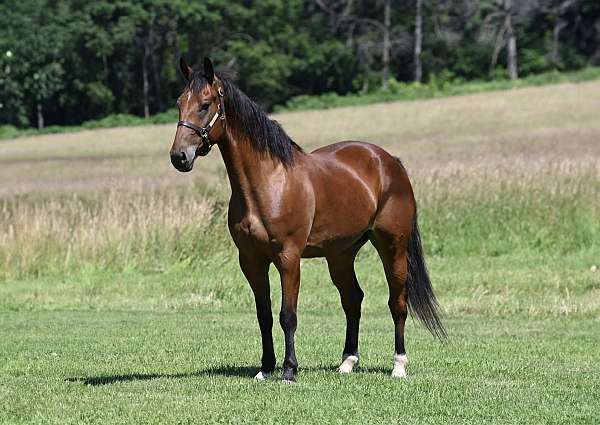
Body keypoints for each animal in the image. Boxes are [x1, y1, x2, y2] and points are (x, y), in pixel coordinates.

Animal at [170, 56, 446, 380]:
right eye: (179, 103)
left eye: (205, 104)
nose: (179, 157)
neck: (267, 182)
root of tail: (390, 162)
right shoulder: (251, 260)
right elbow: (264, 316)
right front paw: (265, 368)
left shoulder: (289, 257)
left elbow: (287, 315)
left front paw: (289, 370)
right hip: (341, 254)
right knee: (353, 300)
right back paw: (347, 362)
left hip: (393, 246)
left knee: (397, 303)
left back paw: (398, 365)